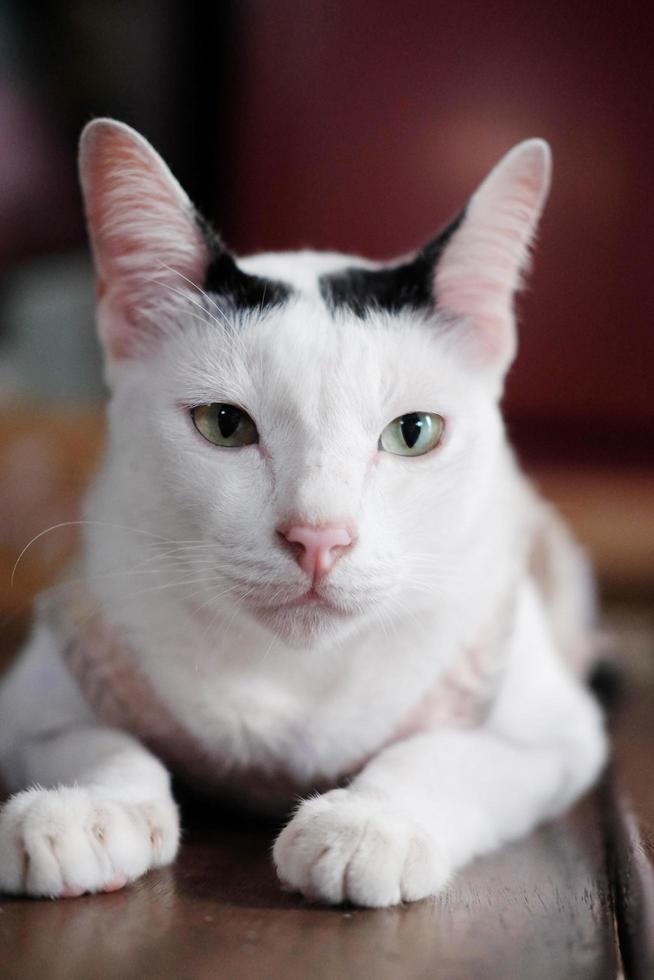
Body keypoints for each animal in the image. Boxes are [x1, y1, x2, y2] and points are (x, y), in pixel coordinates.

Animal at [0, 120, 608, 904]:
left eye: (414, 432)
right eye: (225, 424)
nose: (319, 538)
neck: (296, 674)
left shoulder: (556, 732)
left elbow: (442, 755)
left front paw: (371, 825)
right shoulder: (31, 699)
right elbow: (99, 741)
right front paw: (88, 810)